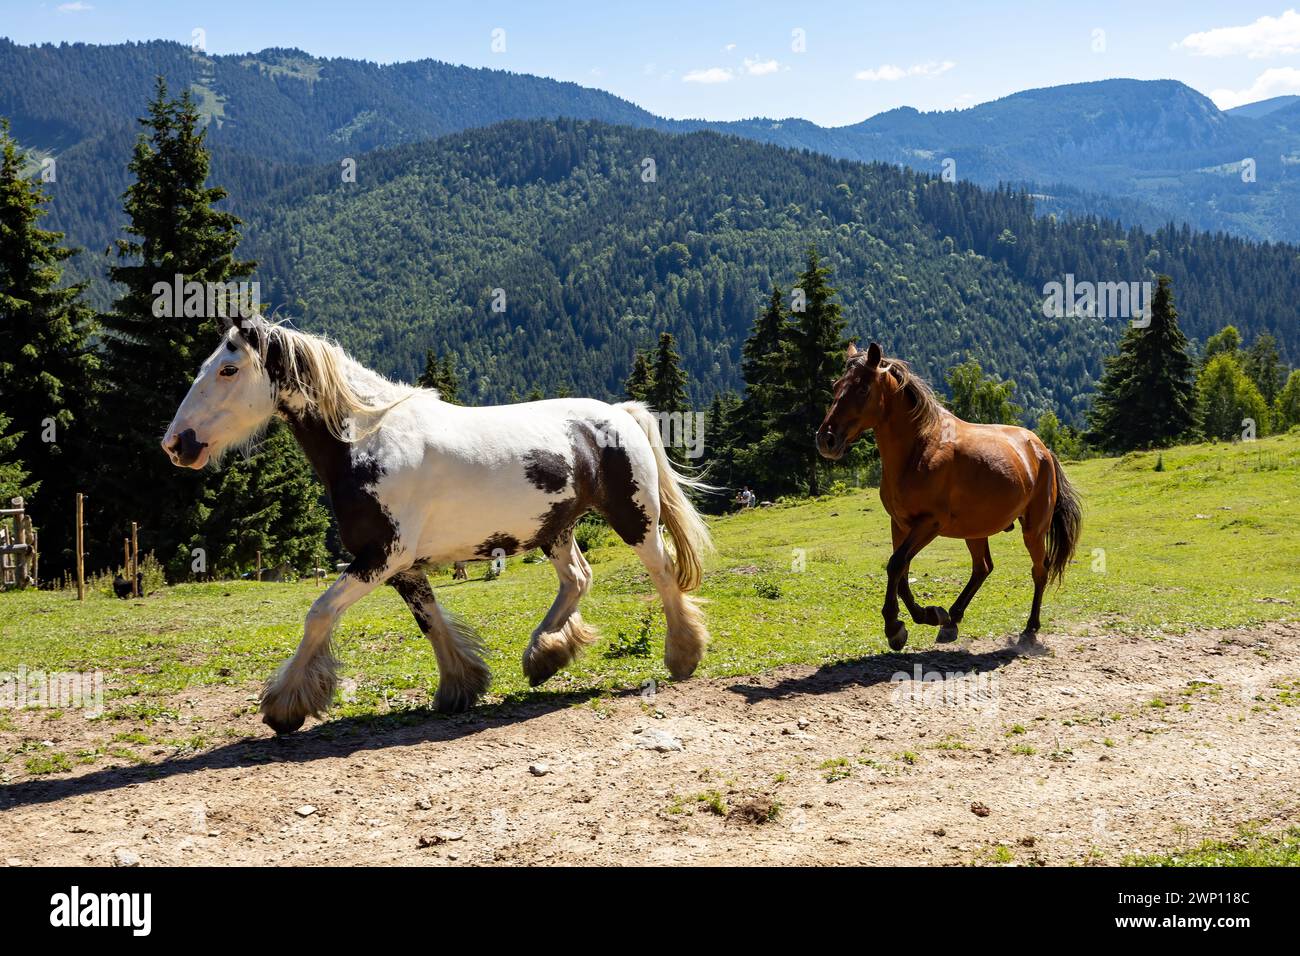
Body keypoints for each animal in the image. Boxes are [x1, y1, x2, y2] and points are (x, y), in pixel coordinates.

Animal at [161, 316, 712, 734]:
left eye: (228, 369)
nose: (176, 443)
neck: (368, 439)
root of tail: (618, 413)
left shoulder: (380, 558)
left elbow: (319, 613)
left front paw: (284, 707)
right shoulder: (402, 567)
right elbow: (431, 623)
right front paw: (461, 685)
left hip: (634, 518)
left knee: (662, 572)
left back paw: (682, 655)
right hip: (553, 530)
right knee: (577, 579)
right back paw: (544, 656)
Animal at [816, 342, 1081, 650]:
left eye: (862, 389)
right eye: (836, 386)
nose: (826, 440)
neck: (920, 449)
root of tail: (1042, 449)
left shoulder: (929, 523)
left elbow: (896, 565)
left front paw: (896, 626)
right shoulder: (900, 524)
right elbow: (901, 571)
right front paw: (928, 616)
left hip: (1033, 530)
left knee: (1039, 570)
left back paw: (1030, 629)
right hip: (976, 530)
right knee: (982, 568)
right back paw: (952, 620)